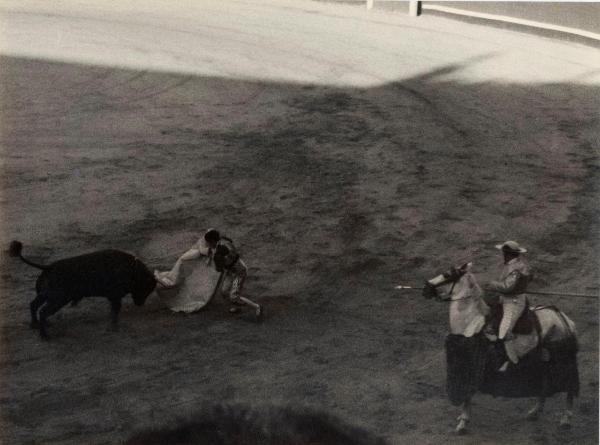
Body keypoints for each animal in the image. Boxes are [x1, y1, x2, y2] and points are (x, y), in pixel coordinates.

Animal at [9, 241, 157, 338]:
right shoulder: (115, 297)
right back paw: (45, 336)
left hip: (46, 295)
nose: (140, 304)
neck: (133, 270)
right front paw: (114, 327)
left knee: (33, 305)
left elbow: (113, 311)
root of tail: (49, 267)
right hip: (58, 300)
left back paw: (35, 324)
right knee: (43, 311)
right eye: (146, 289)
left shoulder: (113, 298)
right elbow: (115, 311)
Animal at [424, 262, 580, 432]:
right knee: (544, 385)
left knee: (569, 388)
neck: (471, 321)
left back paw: (565, 419)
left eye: (447, 274)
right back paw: (534, 412)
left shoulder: (471, 366)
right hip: (545, 362)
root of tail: (563, 318)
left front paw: (463, 423)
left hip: (565, 359)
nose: (426, 288)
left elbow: (467, 394)